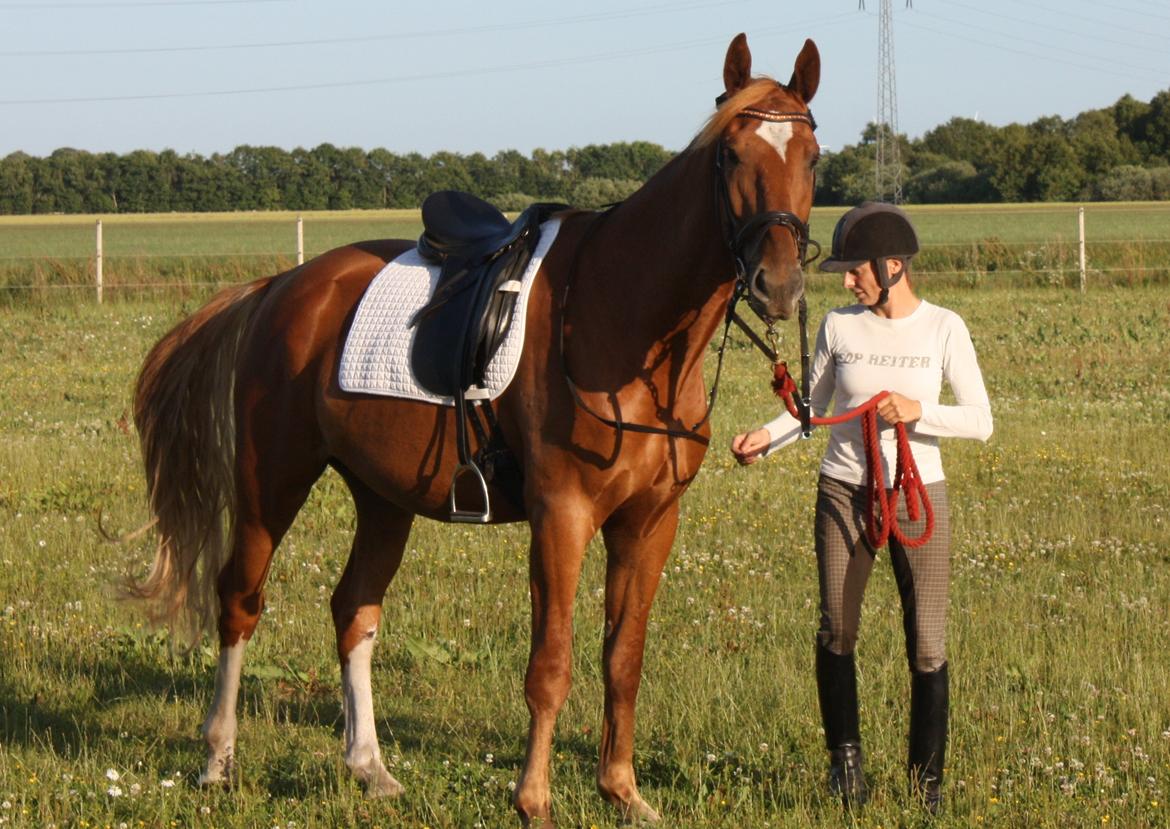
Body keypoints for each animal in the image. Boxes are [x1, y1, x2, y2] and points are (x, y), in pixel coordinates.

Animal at [128, 32, 819, 823]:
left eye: (812, 157)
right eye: (730, 155)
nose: (778, 283)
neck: (625, 319)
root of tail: (281, 287)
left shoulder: (650, 522)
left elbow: (624, 657)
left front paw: (622, 791)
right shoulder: (561, 516)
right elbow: (551, 663)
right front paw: (533, 798)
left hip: (382, 497)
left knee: (353, 610)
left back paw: (370, 766)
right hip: (271, 479)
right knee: (240, 601)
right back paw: (217, 757)